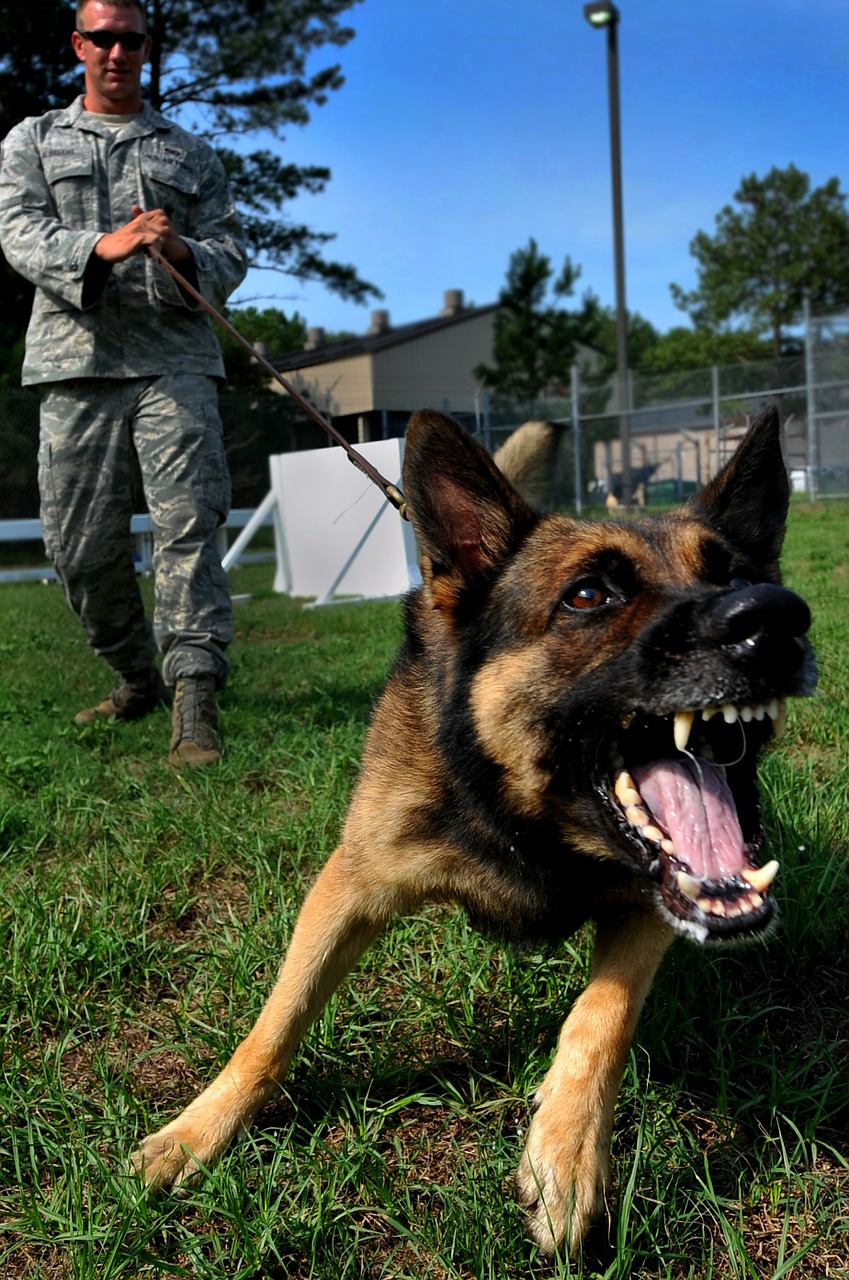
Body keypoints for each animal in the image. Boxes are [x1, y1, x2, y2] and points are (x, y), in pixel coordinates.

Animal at [133, 404, 819, 1254]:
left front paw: (565, 1154)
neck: (524, 816)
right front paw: (198, 1131)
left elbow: (600, 1019)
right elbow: (274, 1024)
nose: (773, 619)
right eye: (587, 595)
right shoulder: (349, 885)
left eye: (737, 577)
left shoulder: (648, 906)